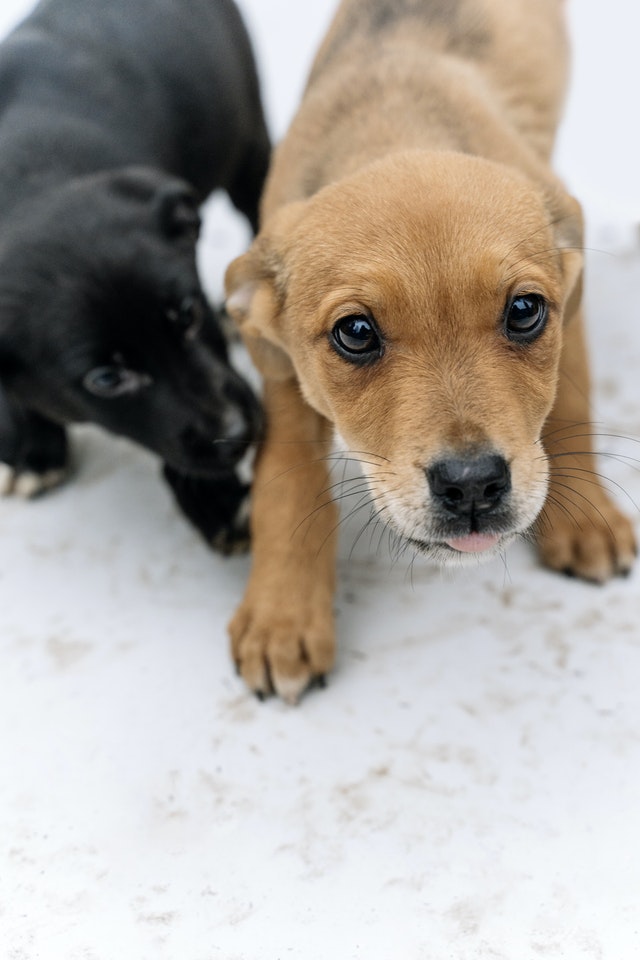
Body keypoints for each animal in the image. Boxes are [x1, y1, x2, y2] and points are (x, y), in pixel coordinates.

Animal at [0, 0, 268, 548]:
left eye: (187, 314)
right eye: (106, 379)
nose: (235, 432)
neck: (28, 173)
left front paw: (217, 501)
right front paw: (29, 443)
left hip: (247, 137)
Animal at [225, 0, 636, 704]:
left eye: (523, 311)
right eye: (356, 332)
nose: (472, 487)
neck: (396, 126)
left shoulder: (570, 299)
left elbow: (570, 405)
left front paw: (584, 516)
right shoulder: (282, 364)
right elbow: (287, 474)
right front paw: (283, 613)